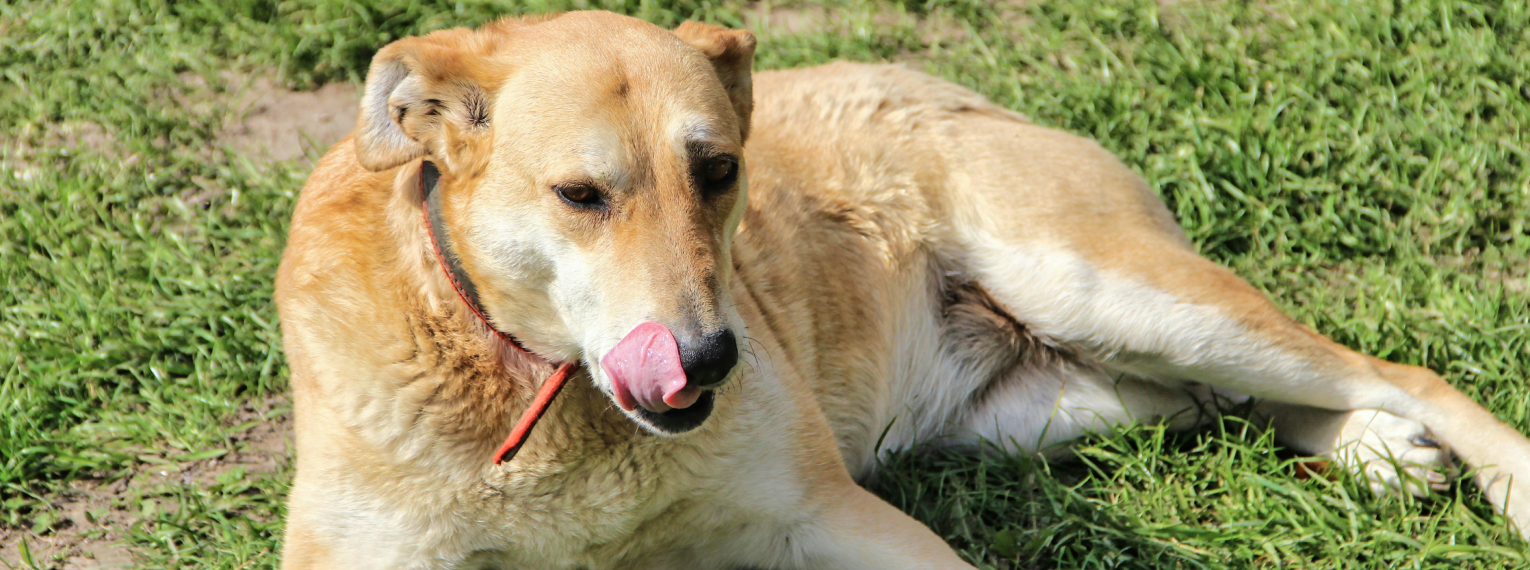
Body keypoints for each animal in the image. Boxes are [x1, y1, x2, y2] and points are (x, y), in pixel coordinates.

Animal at [275, 9, 1530, 568]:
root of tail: (944, 85)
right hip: (1056, 404)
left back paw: (1488, 475)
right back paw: (1374, 448)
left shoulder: (829, 519)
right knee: (1227, 401)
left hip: (1107, 290)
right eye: (581, 195)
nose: (717, 360)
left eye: (719, 172)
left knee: (1393, 369)